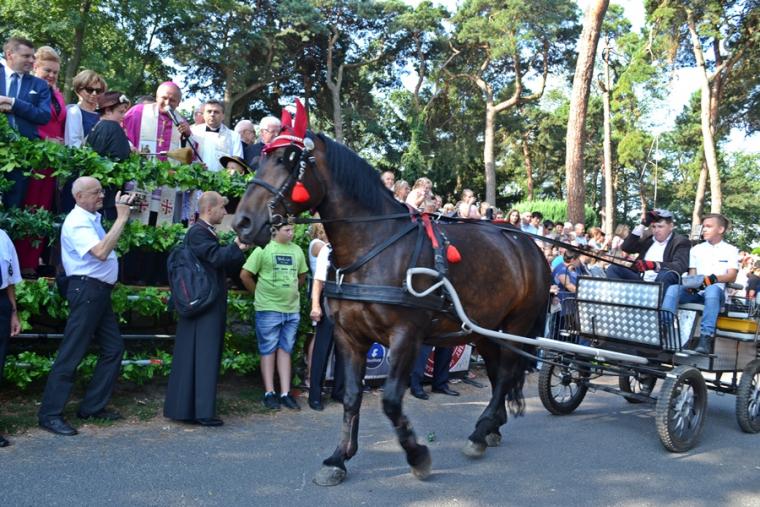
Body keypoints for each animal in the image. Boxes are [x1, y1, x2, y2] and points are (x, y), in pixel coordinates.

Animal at [233, 130, 550, 486]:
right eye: (258, 160)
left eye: (288, 161)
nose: (243, 222)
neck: (373, 245)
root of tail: (527, 244)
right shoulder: (349, 336)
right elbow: (351, 396)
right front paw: (338, 458)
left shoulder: (405, 336)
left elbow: (390, 400)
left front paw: (417, 454)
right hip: (483, 329)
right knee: (498, 373)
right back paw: (491, 426)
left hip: (515, 324)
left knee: (507, 371)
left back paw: (481, 433)